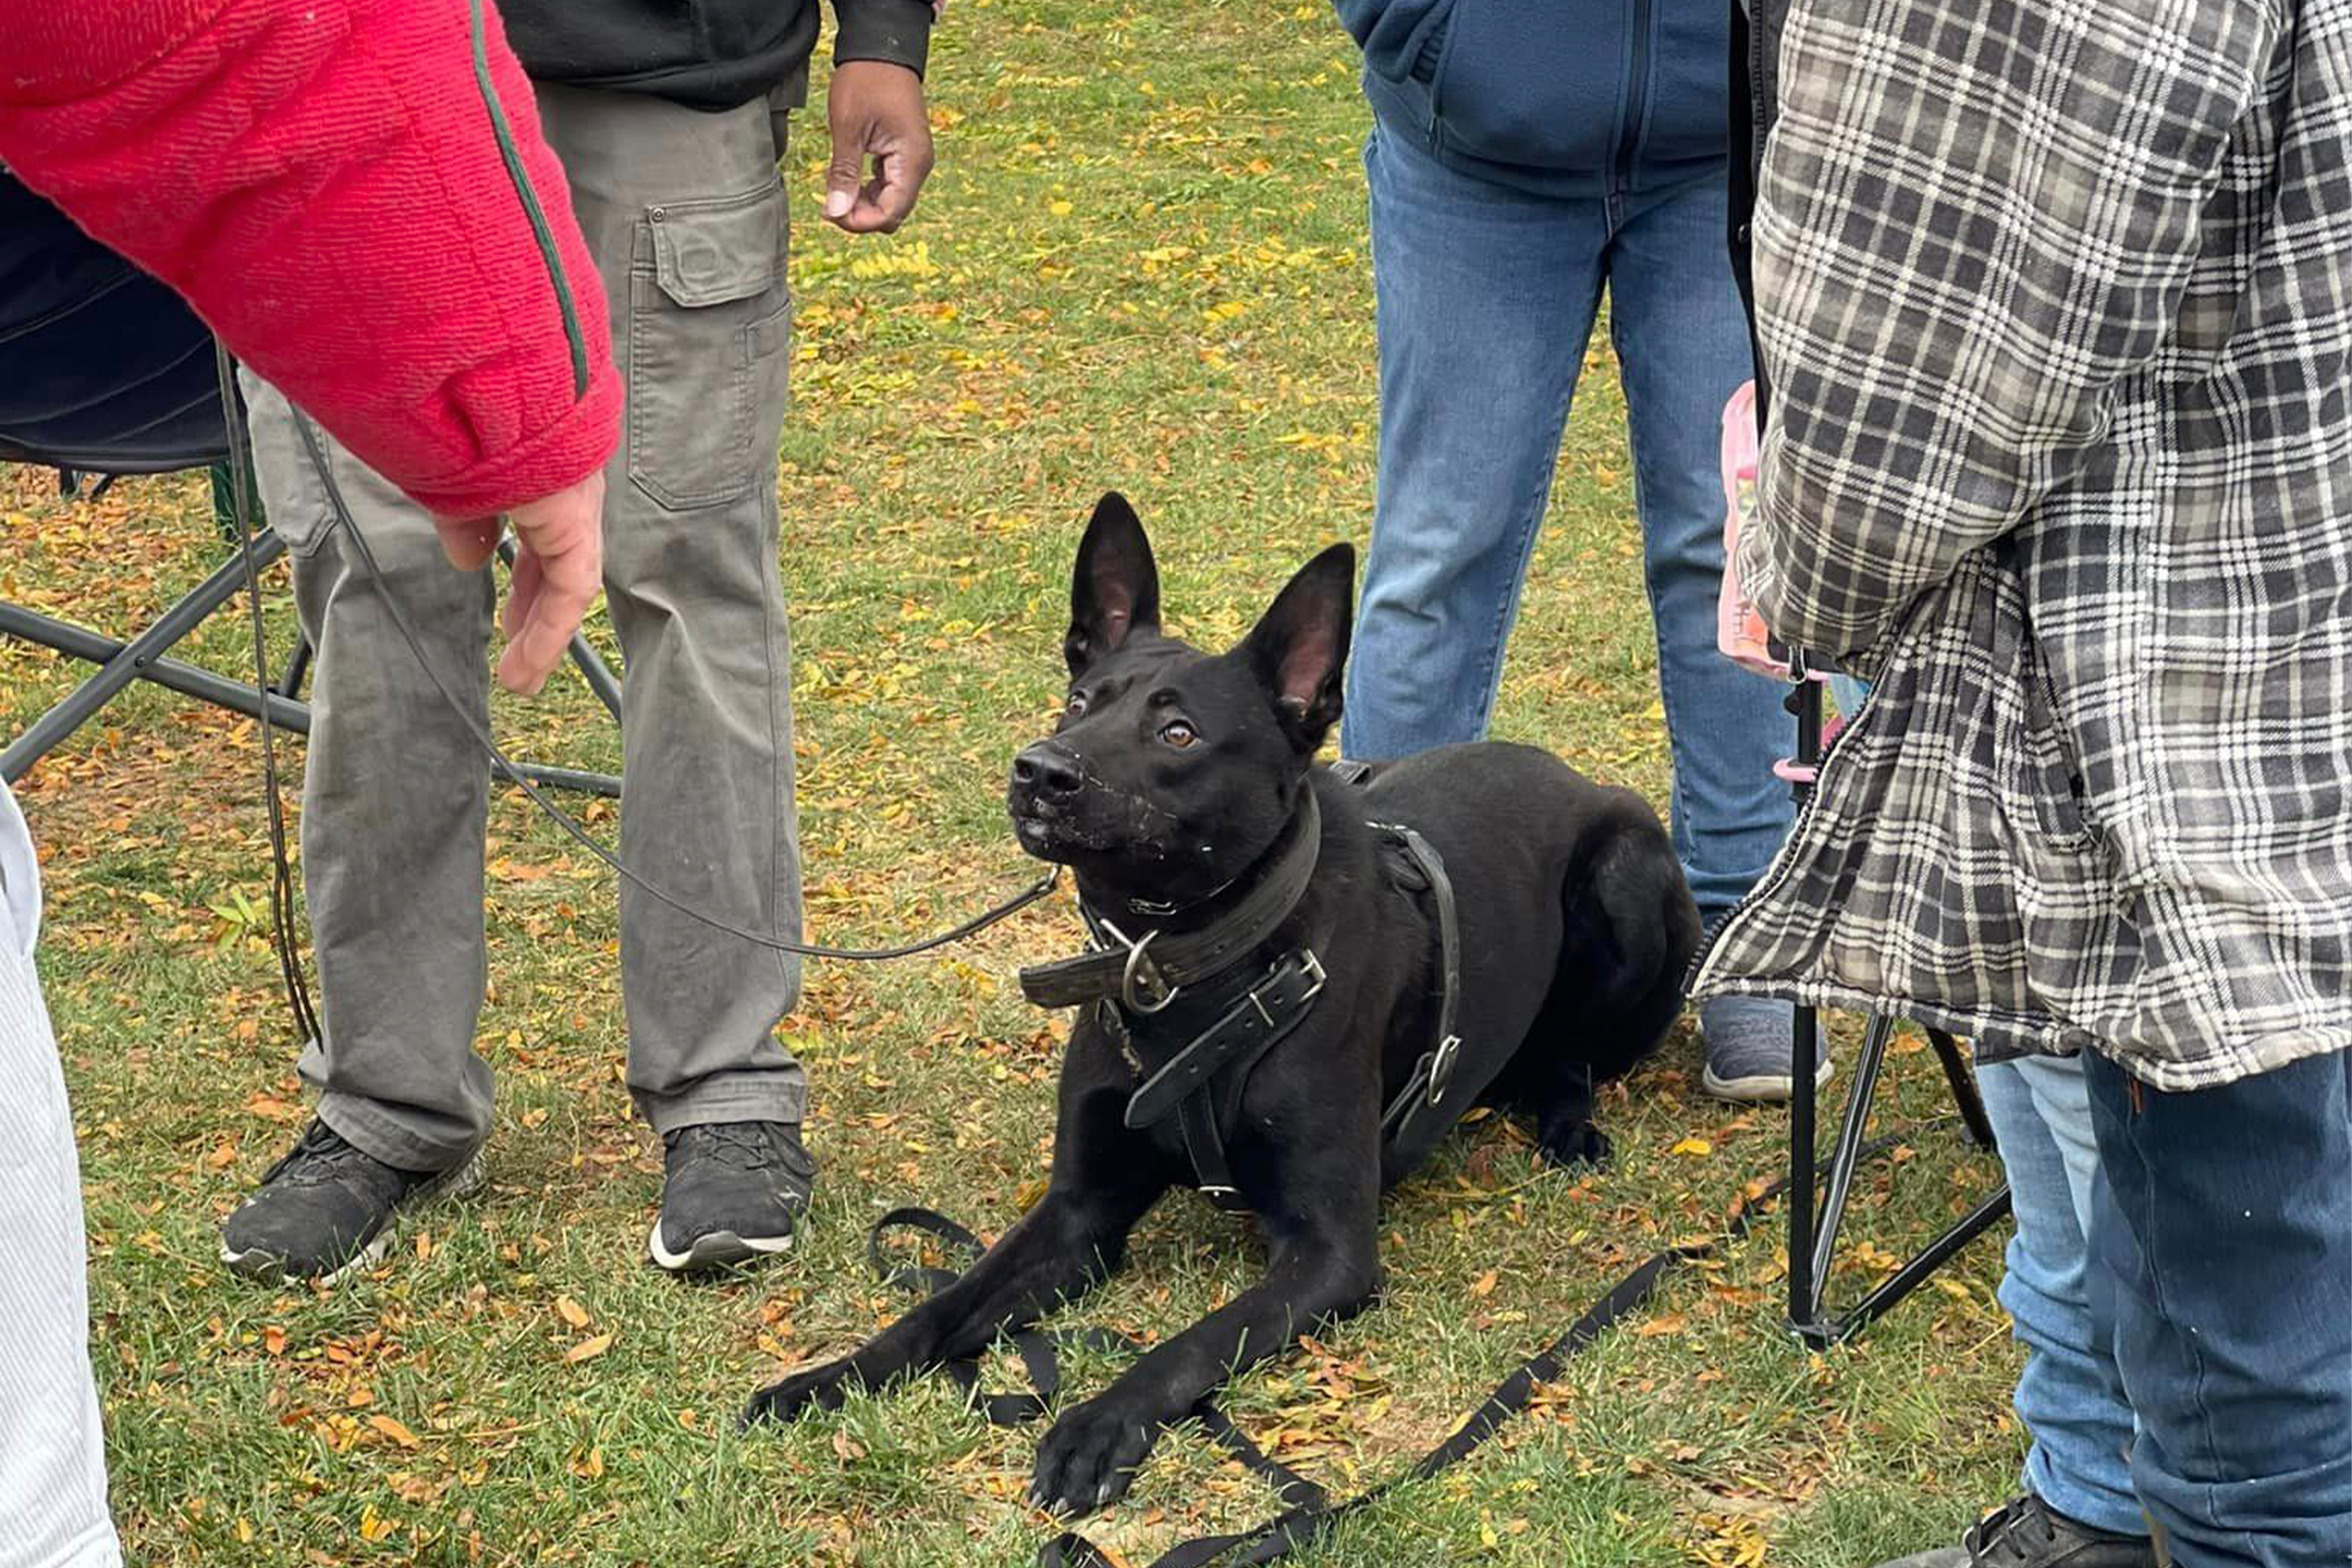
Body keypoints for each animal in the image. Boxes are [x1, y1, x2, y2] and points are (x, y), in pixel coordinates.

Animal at [748, 496, 1693, 1513]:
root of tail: (1572, 771)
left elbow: (1190, 1341)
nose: (1039, 768)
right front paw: (829, 1375)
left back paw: (1566, 1117)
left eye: (1178, 734)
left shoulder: (1328, 1253)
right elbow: (939, 1305)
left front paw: (1097, 1422)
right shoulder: (1077, 1212)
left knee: (1574, 1049)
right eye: (1081, 702)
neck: (1193, 972)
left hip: (1627, 875)